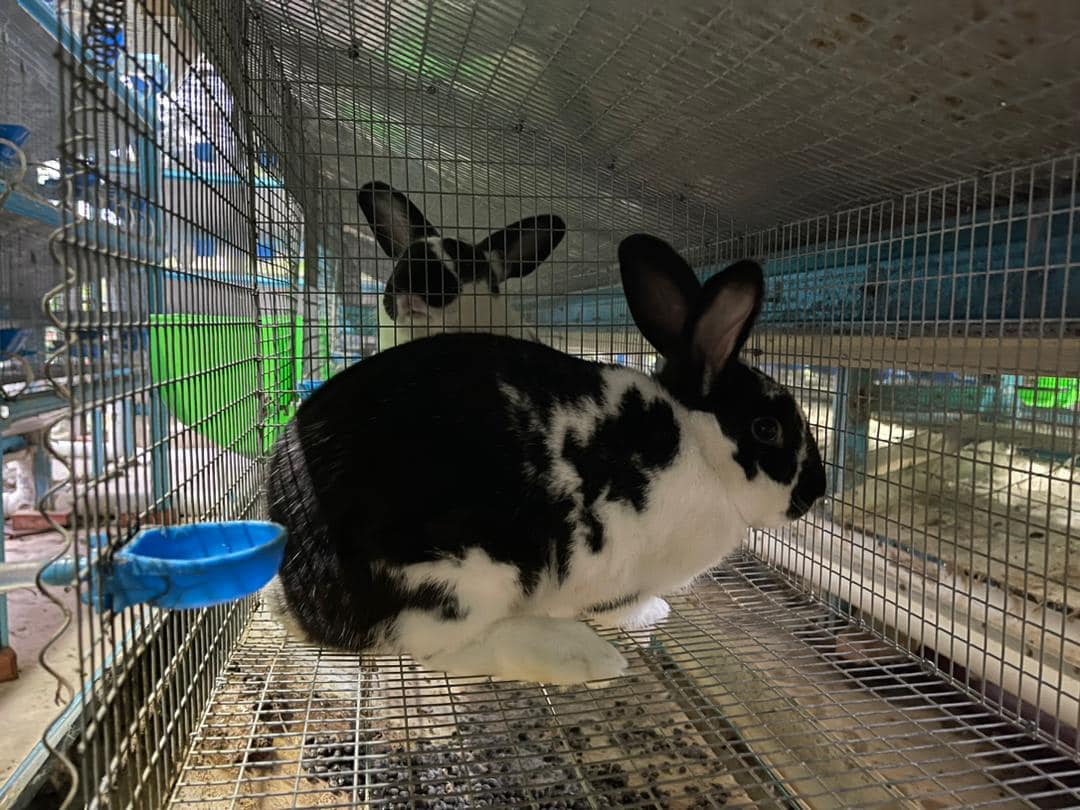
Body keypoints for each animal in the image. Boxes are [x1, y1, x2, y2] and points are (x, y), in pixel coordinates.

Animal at [263, 232, 827, 685]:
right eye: (767, 428)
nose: (816, 493)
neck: (699, 447)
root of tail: (304, 596)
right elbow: (621, 605)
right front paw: (652, 614)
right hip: (466, 579)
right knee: (448, 649)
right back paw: (583, 657)